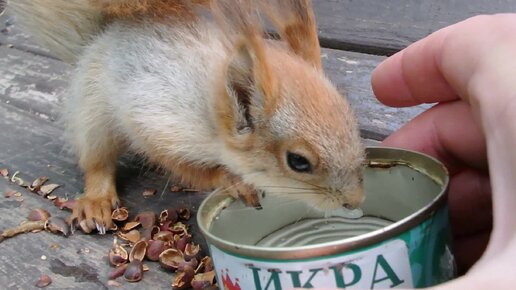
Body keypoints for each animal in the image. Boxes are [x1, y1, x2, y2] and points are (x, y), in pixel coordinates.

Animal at [7, 0, 362, 234]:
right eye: (298, 161)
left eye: (352, 121)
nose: (354, 200)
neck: (208, 104)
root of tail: (104, 36)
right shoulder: (157, 121)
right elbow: (186, 166)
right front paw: (230, 179)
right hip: (93, 111)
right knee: (96, 161)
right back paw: (96, 200)